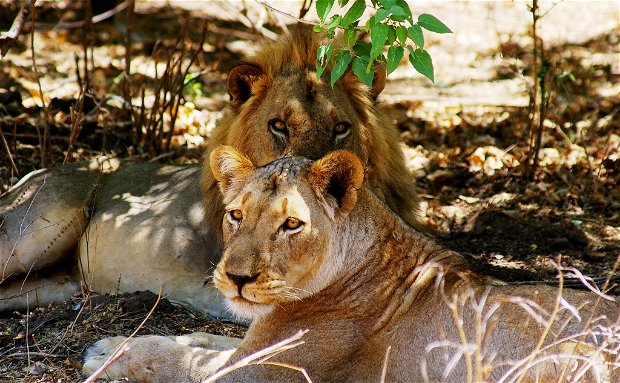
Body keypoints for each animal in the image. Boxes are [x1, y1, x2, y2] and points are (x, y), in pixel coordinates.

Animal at [83, 147, 620, 383]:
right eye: (236, 215)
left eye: (291, 225)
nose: (236, 278)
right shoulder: (253, 345)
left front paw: (109, 355)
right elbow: (200, 339)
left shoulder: (262, 372)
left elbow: (177, 358)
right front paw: (112, 343)